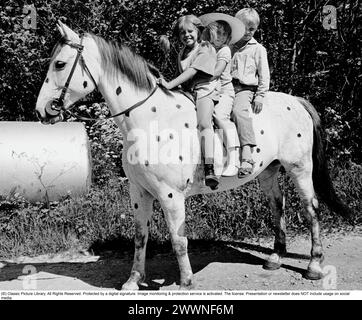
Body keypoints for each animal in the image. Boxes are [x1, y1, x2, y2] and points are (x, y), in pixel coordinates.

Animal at [35, 21, 352, 290]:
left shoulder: (170, 195)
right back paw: (274, 259)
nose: (42, 111)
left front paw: (186, 282)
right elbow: (140, 236)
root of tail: (296, 101)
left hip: (300, 168)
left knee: (311, 209)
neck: (149, 119)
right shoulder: (139, 192)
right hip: (269, 171)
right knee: (278, 205)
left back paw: (314, 266)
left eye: (59, 64)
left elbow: (178, 240)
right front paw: (133, 280)